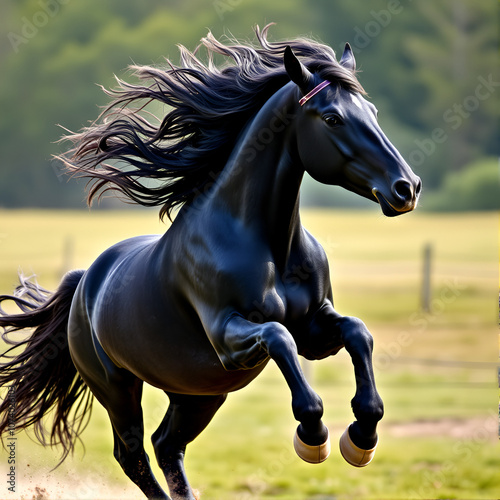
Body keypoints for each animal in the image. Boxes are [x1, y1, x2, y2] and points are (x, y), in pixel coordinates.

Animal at [0, 27, 422, 500]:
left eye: (372, 111)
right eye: (332, 118)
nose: (406, 187)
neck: (268, 244)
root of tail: (84, 281)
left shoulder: (314, 330)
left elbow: (357, 332)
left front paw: (362, 436)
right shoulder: (228, 337)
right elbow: (278, 338)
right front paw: (313, 437)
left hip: (198, 394)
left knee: (167, 445)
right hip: (118, 388)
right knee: (134, 454)